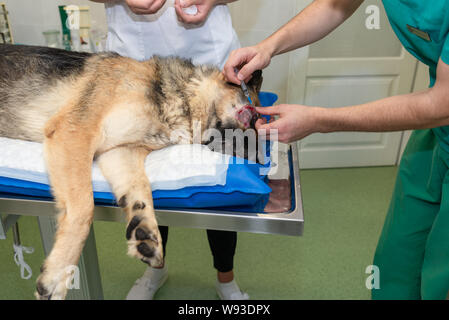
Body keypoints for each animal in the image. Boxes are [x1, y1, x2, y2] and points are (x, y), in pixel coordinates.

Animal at [0, 43, 262, 298]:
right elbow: (84, 208)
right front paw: (57, 274)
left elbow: (139, 189)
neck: (180, 95)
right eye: (253, 117)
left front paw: (144, 228)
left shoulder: (119, 152)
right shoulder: (74, 133)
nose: (260, 160)